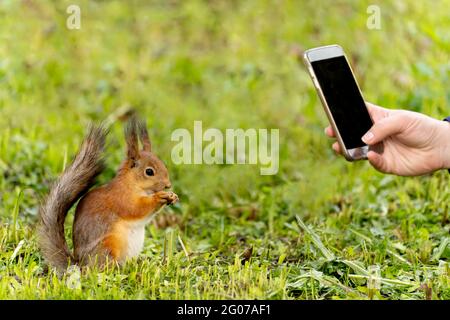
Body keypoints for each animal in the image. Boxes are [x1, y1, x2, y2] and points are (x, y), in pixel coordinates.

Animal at [37, 116, 178, 272]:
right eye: (149, 171)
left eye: (163, 164)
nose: (168, 185)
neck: (132, 184)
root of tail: (80, 265)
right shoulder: (121, 198)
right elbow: (137, 208)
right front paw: (160, 197)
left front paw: (172, 196)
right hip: (108, 246)